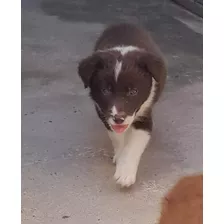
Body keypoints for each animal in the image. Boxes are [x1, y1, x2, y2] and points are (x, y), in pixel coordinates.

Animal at [78, 23, 167, 187]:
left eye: (133, 92)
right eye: (105, 90)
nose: (119, 119)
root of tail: (125, 23)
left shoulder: (144, 117)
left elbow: (133, 146)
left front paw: (125, 174)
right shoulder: (105, 115)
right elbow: (118, 139)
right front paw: (119, 158)